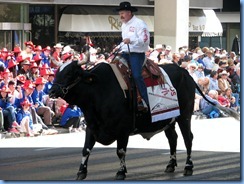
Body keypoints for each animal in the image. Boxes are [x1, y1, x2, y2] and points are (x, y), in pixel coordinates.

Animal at [48, 60, 197, 180]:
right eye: (57, 72)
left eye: (70, 74)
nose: (52, 91)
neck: (99, 90)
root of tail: (184, 72)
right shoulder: (91, 127)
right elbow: (86, 149)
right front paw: (81, 172)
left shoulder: (123, 130)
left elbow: (120, 151)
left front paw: (121, 172)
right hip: (168, 120)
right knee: (172, 139)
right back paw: (171, 164)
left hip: (184, 116)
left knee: (188, 139)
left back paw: (188, 167)